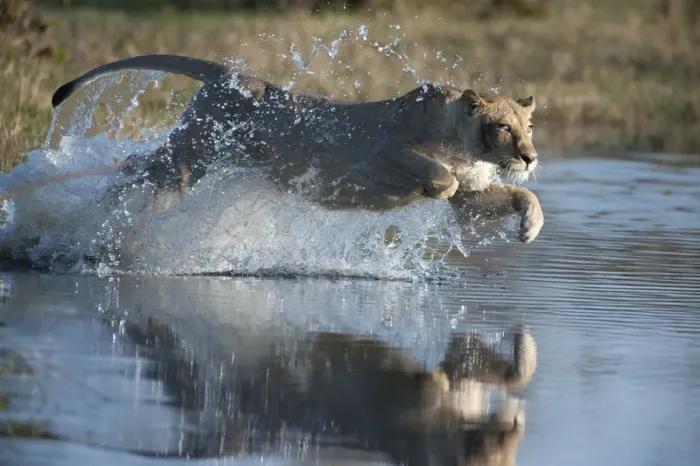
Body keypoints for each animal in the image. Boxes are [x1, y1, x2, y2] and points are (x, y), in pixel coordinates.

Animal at [53, 54, 544, 243]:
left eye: (529, 128)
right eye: (503, 128)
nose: (530, 157)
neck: (467, 149)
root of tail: (233, 73)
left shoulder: (475, 196)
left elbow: (521, 195)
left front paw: (529, 229)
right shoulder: (380, 152)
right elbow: (438, 175)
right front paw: (431, 188)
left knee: (138, 170)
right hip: (191, 157)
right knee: (136, 169)